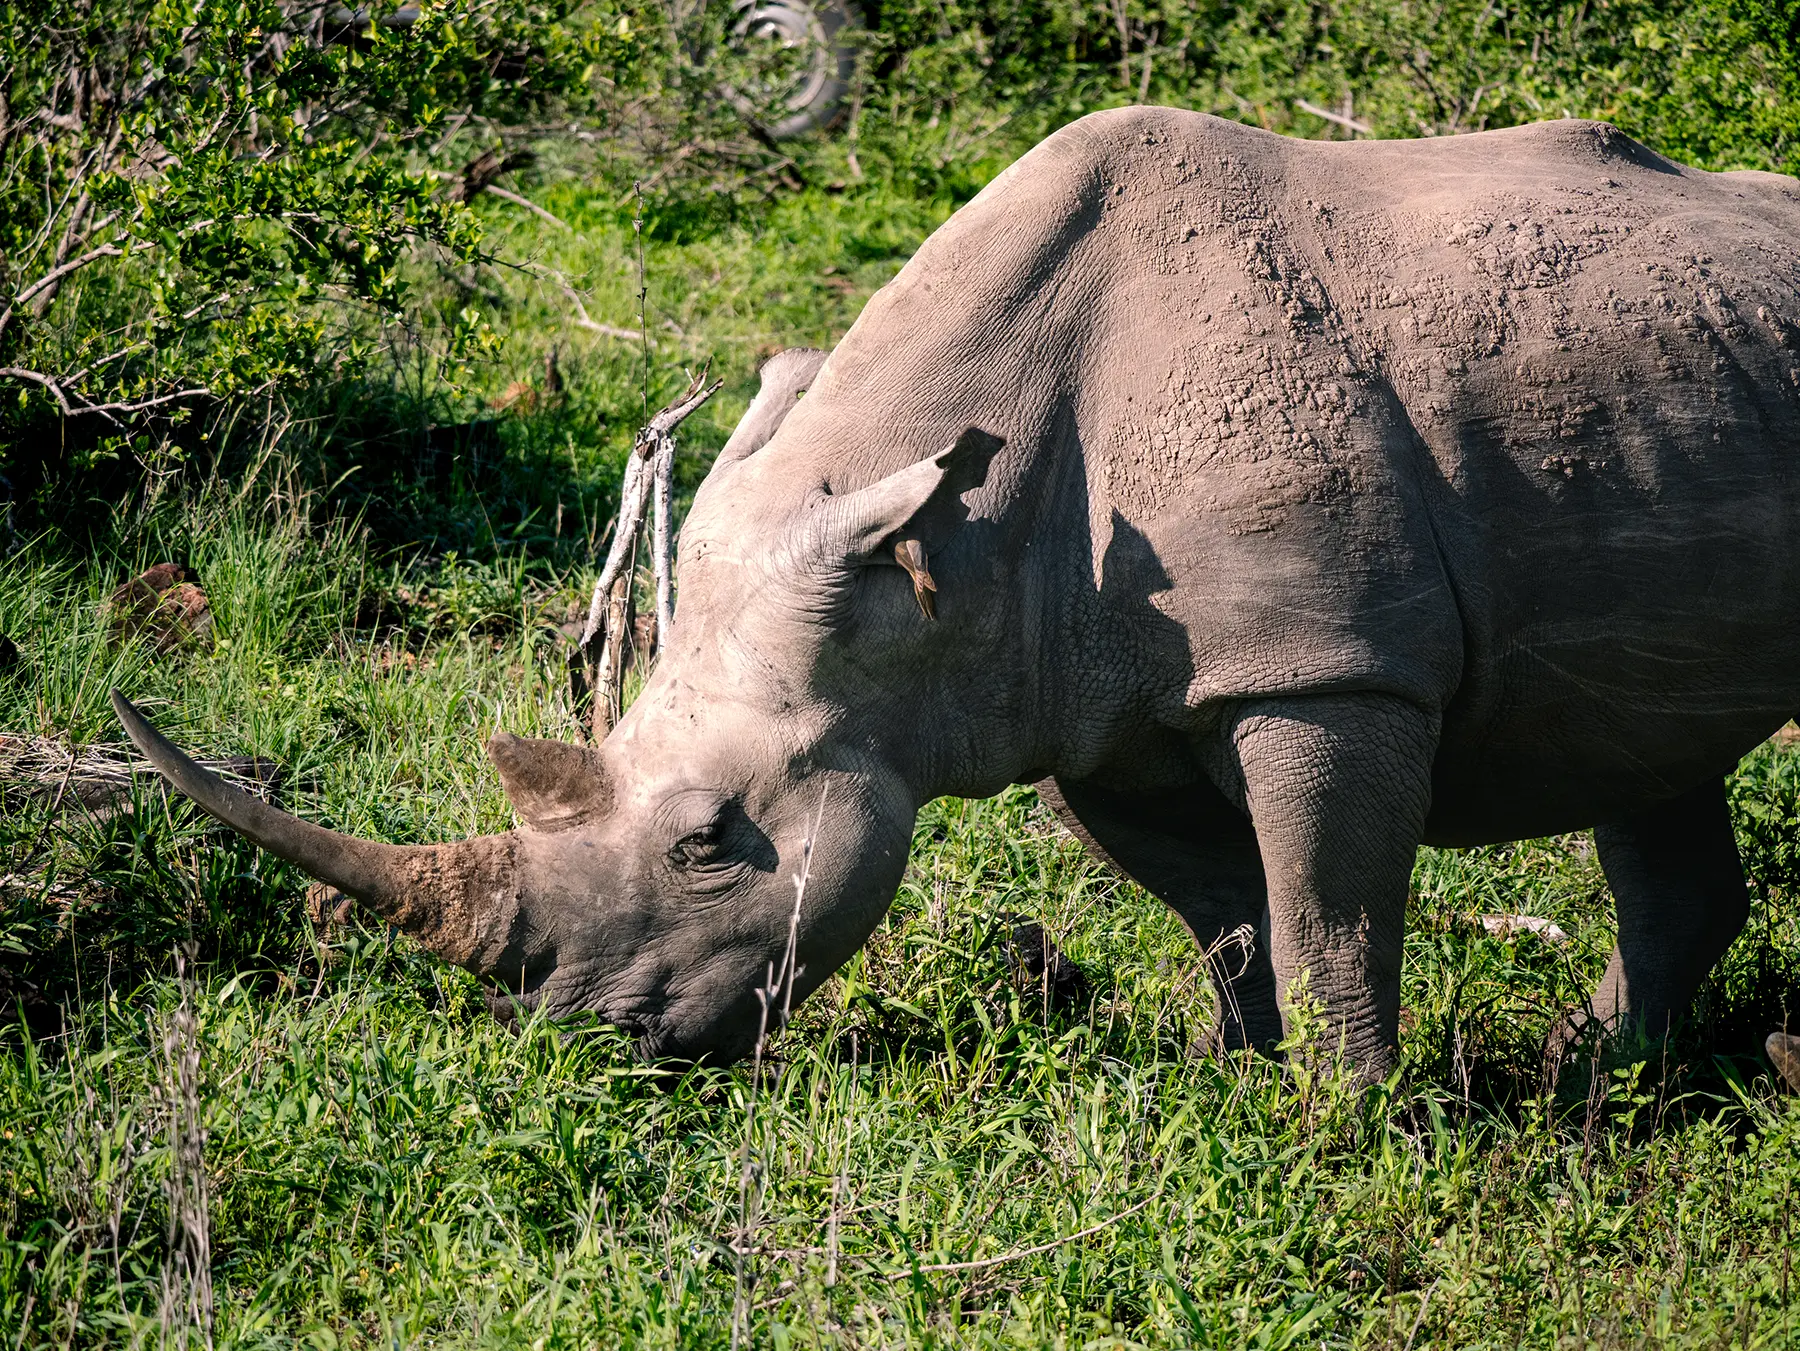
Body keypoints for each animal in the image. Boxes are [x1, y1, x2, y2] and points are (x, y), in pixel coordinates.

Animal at [116, 107, 1800, 1080]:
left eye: (712, 841)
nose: (585, 1043)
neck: (938, 571)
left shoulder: (1322, 662)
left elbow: (1323, 907)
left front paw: (1349, 1128)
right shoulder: (1089, 700)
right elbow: (1226, 913)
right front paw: (1239, 1087)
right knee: (1652, 754)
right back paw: (1597, 1086)